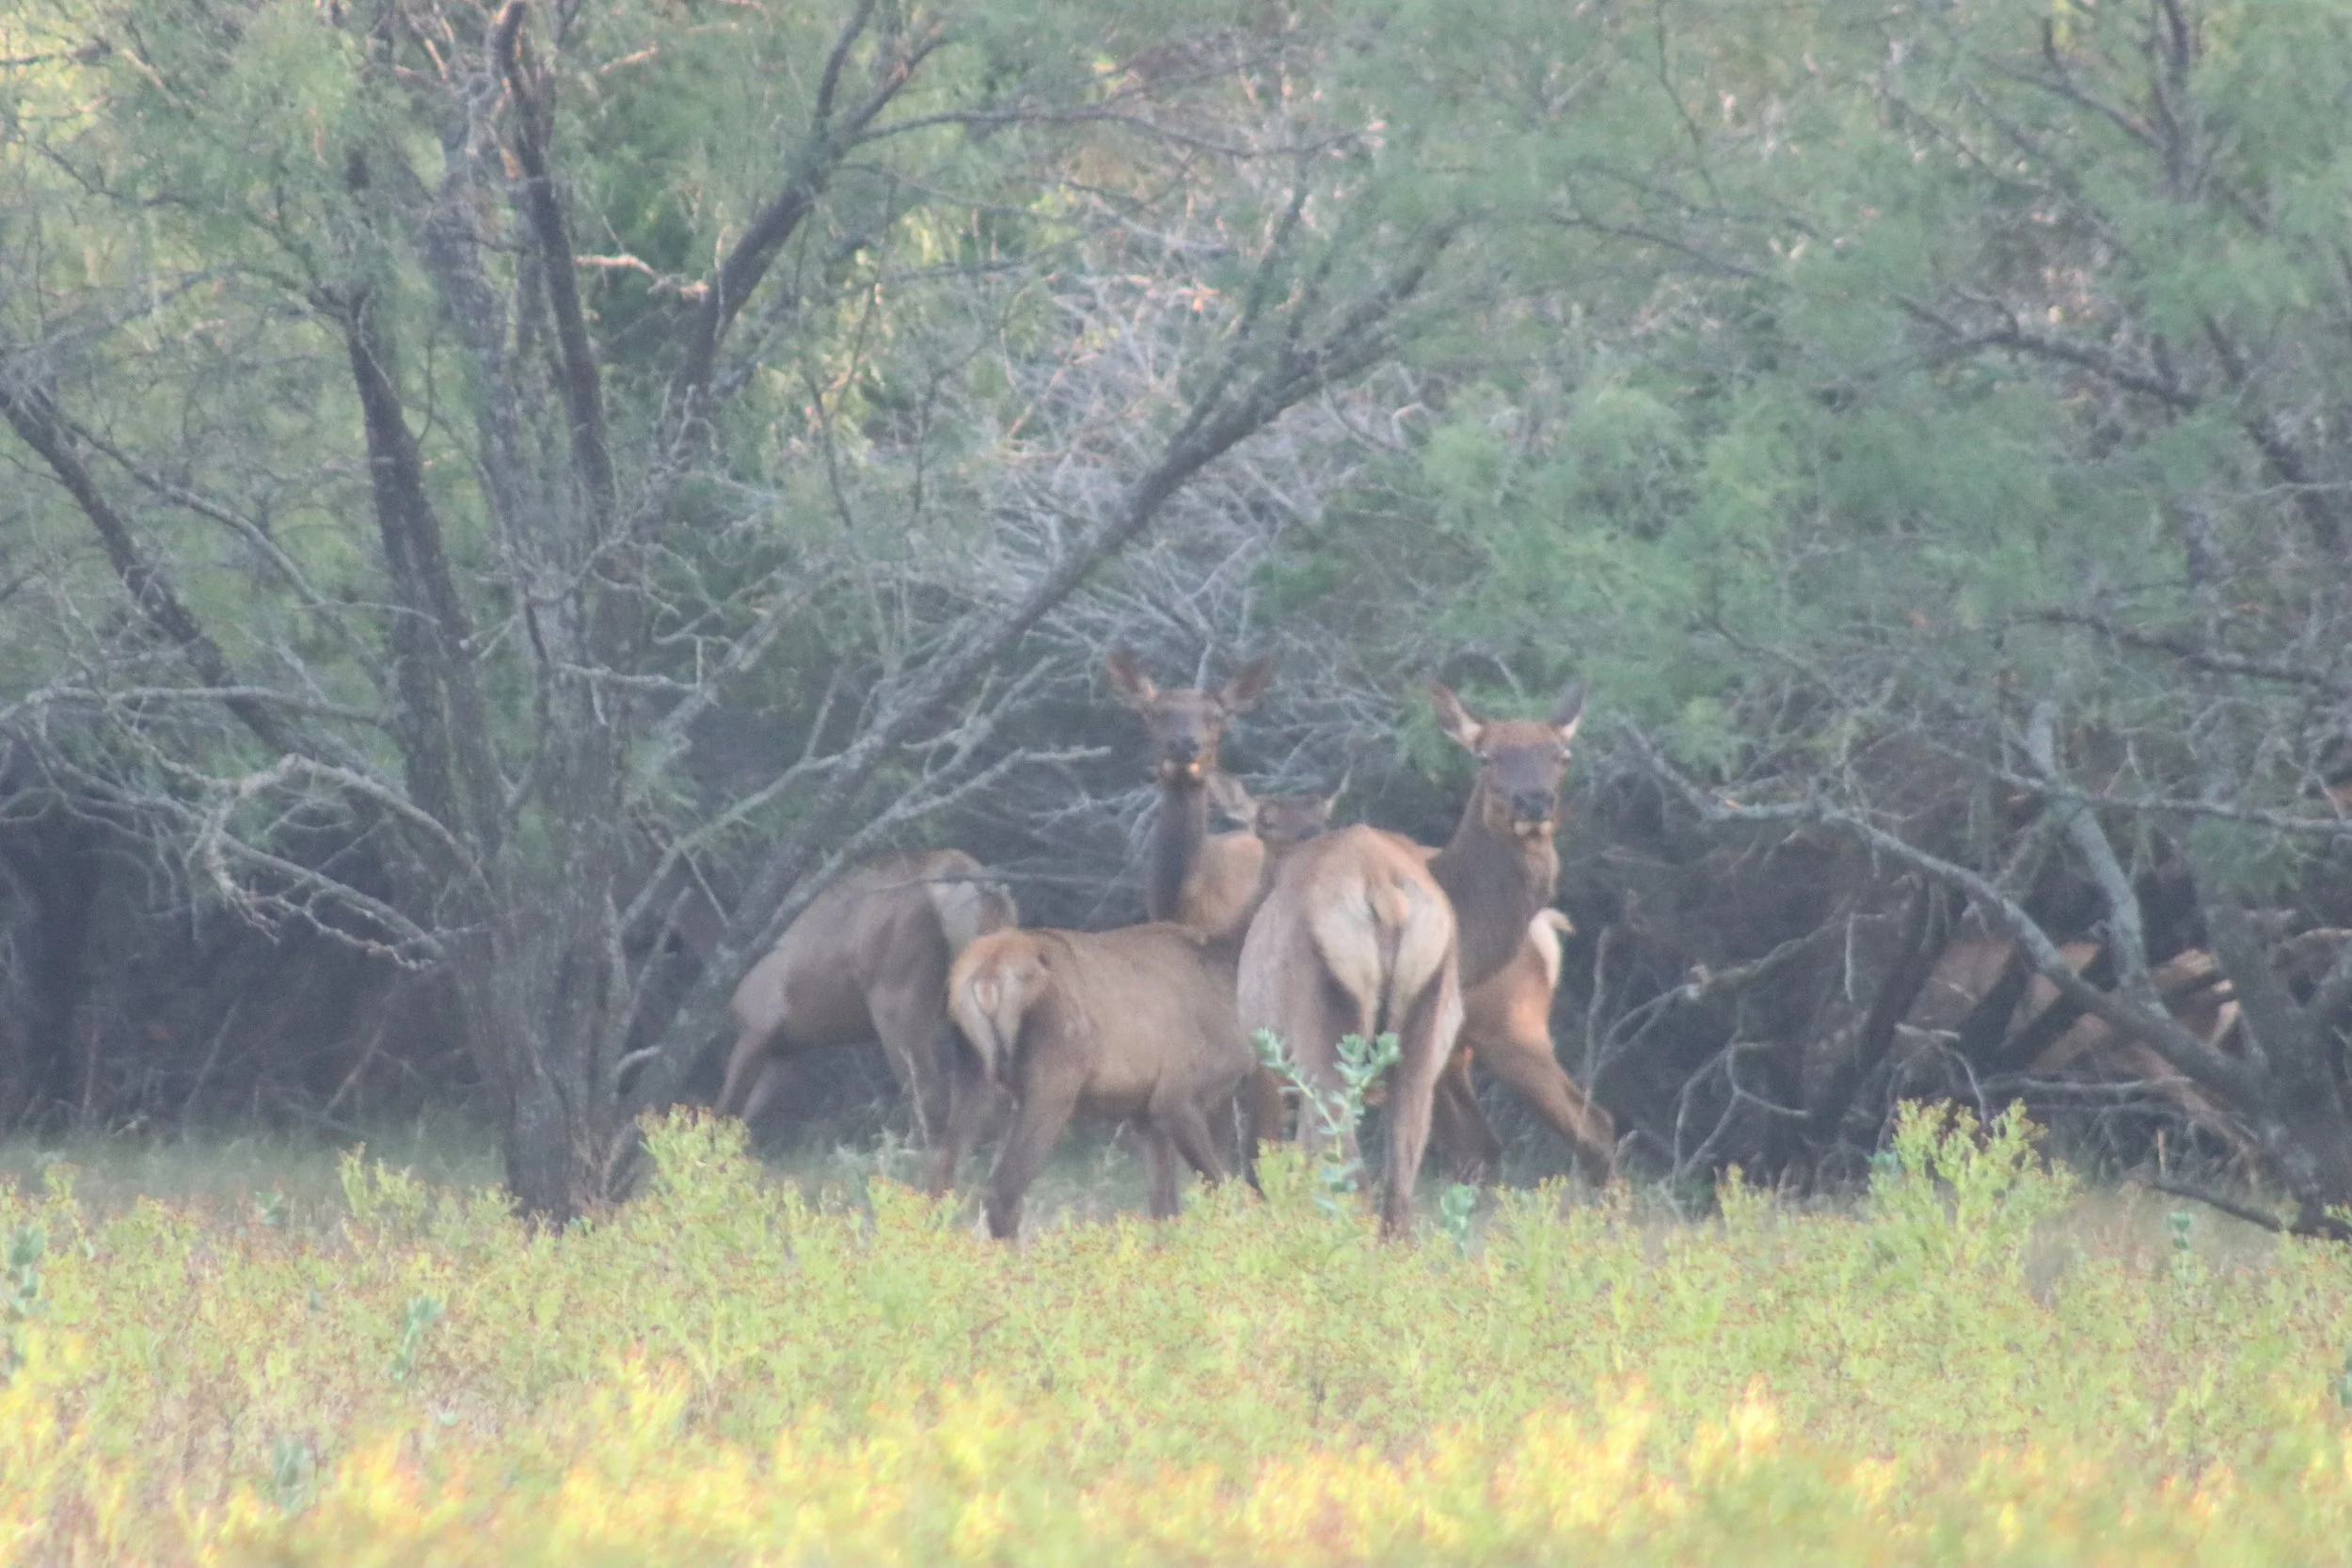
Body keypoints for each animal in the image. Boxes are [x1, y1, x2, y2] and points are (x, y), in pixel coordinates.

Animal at [714, 850, 1016, 1142]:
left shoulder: (758, 1026)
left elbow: (725, 1111)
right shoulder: (785, 1052)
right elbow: (742, 1119)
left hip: (896, 1001)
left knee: (928, 1093)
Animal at [927, 780, 1341, 1240]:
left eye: (1322, 817)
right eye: (1265, 820)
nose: (1310, 843)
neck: (1225, 966)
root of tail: (984, 974)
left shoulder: (1144, 1114)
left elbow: (1165, 1209)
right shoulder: (1177, 1092)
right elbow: (1223, 1193)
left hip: (974, 1068)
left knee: (941, 1171)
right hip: (1054, 1074)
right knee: (1002, 1193)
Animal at [1237, 678, 1587, 1234]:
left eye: (1561, 755)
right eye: (1486, 755)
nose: (1534, 802)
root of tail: (1382, 890)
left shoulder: (1258, 1060)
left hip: (1328, 1032)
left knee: (1343, 1163)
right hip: (1427, 1027)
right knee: (1404, 1175)